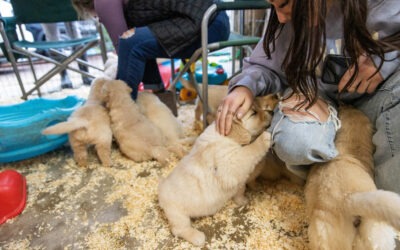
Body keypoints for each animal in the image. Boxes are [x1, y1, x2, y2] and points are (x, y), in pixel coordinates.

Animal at [159, 94, 278, 246]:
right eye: (254, 113)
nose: (273, 112)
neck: (225, 137)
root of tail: (160, 191)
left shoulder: (237, 180)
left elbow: (240, 189)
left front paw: (242, 200)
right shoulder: (230, 163)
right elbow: (250, 150)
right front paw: (264, 137)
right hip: (177, 213)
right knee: (179, 229)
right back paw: (197, 237)